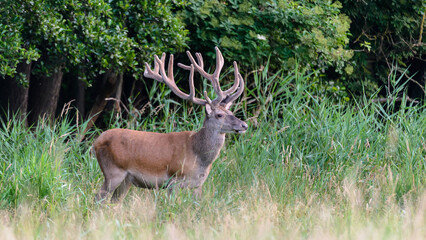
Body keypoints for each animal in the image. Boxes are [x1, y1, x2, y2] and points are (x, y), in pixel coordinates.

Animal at [93, 47, 246, 202]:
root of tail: (96, 141)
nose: (244, 125)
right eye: (219, 115)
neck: (197, 155)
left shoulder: (198, 184)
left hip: (126, 180)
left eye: (230, 111)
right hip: (113, 171)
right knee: (98, 198)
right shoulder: (174, 179)